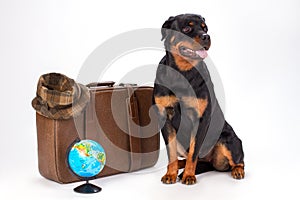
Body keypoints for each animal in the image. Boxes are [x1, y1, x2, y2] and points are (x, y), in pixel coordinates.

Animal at [154, 14, 245, 185]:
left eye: (205, 28)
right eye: (186, 28)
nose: (206, 36)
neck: (182, 73)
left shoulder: (200, 119)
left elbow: (194, 152)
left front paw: (189, 175)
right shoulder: (164, 117)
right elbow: (171, 152)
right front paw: (170, 174)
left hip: (228, 140)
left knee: (239, 160)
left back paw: (237, 171)